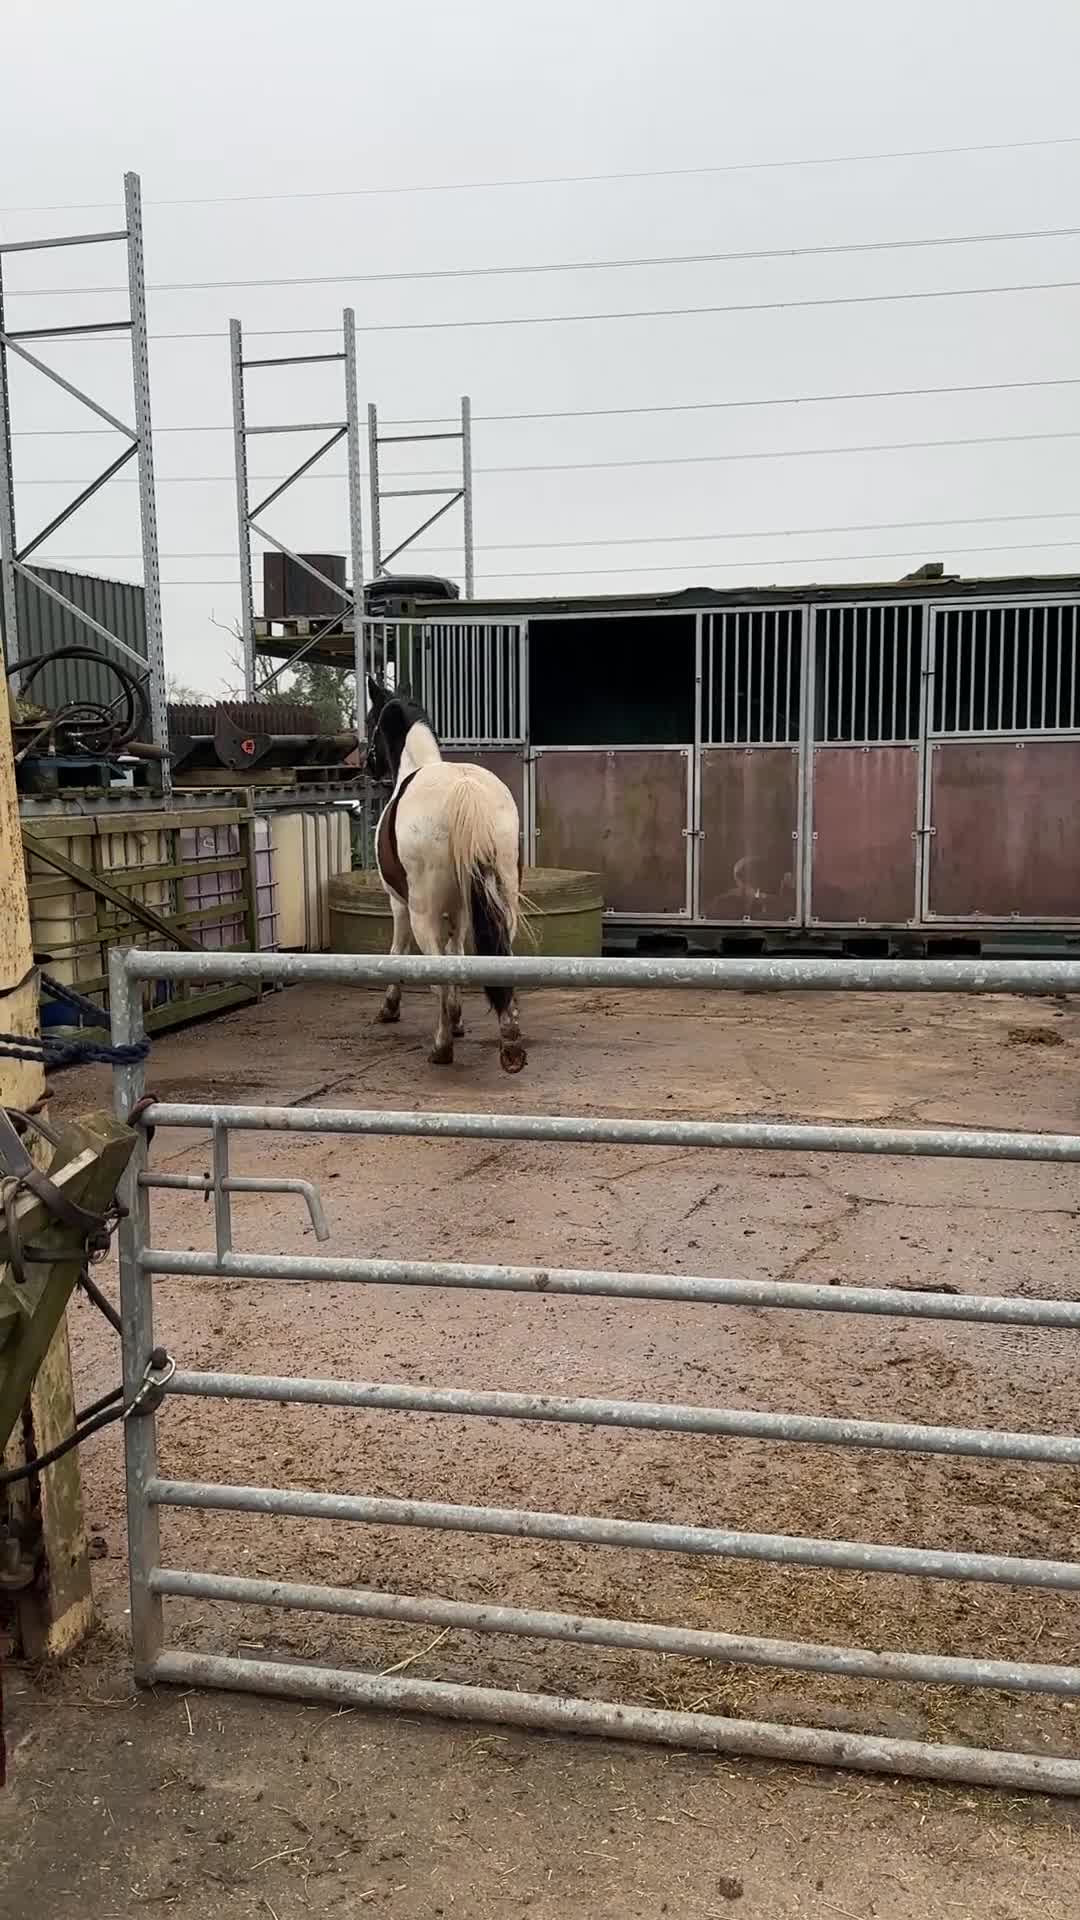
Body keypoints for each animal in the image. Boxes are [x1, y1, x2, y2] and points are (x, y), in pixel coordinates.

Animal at [365, 676, 527, 1073]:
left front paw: (391, 1007)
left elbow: (399, 951)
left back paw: (441, 1048)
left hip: (422, 912)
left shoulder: (399, 904)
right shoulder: (461, 910)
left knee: (436, 969)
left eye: (370, 720)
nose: (365, 765)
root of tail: (465, 790)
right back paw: (510, 1043)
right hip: (504, 904)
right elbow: (459, 955)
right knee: (503, 959)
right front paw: (457, 1018)